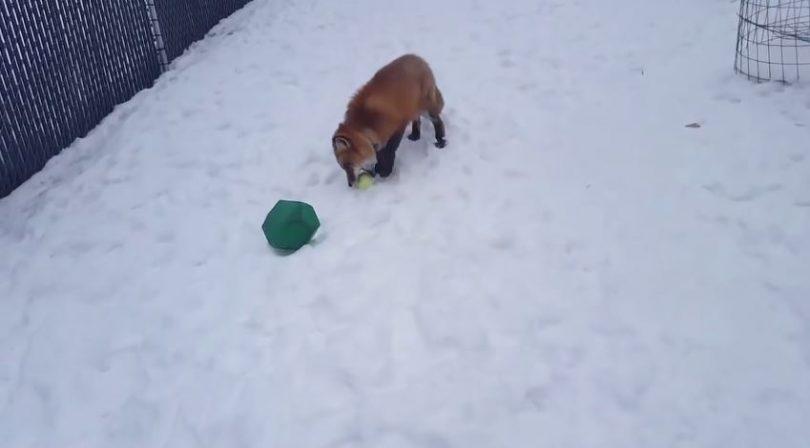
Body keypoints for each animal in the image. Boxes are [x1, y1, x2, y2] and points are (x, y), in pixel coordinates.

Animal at [330, 54, 448, 187]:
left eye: (348, 165)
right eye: (343, 167)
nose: (350, 184)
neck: (368, 123)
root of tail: (418, 57)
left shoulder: (398, 125)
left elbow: (390, 150)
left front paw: (385, 170)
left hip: (425, 108)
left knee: (437, 121)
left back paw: (440, 140)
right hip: (413, 108)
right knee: (417, 120)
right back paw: (415, 135)